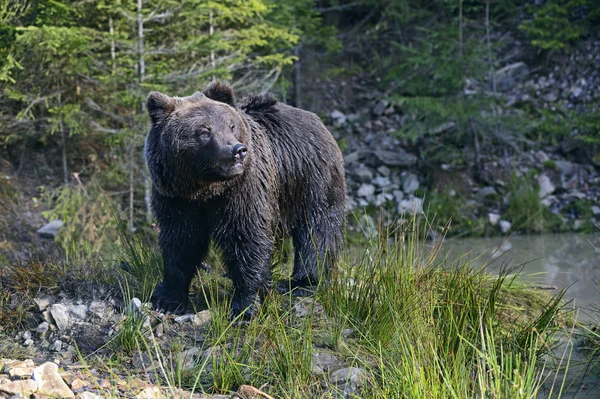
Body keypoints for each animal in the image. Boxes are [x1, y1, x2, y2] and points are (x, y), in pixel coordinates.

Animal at [145, 82, 346, 318]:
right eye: (204, 131)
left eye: (231, 126)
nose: (237, 150)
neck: (205, 189)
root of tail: (316, 120)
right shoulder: (176, 197)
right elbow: (181, 241)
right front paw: (168, 298)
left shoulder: (243, 191)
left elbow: (246, 238)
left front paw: (246, 306)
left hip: (311, 178)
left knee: (316, 230)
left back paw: (303, 282)